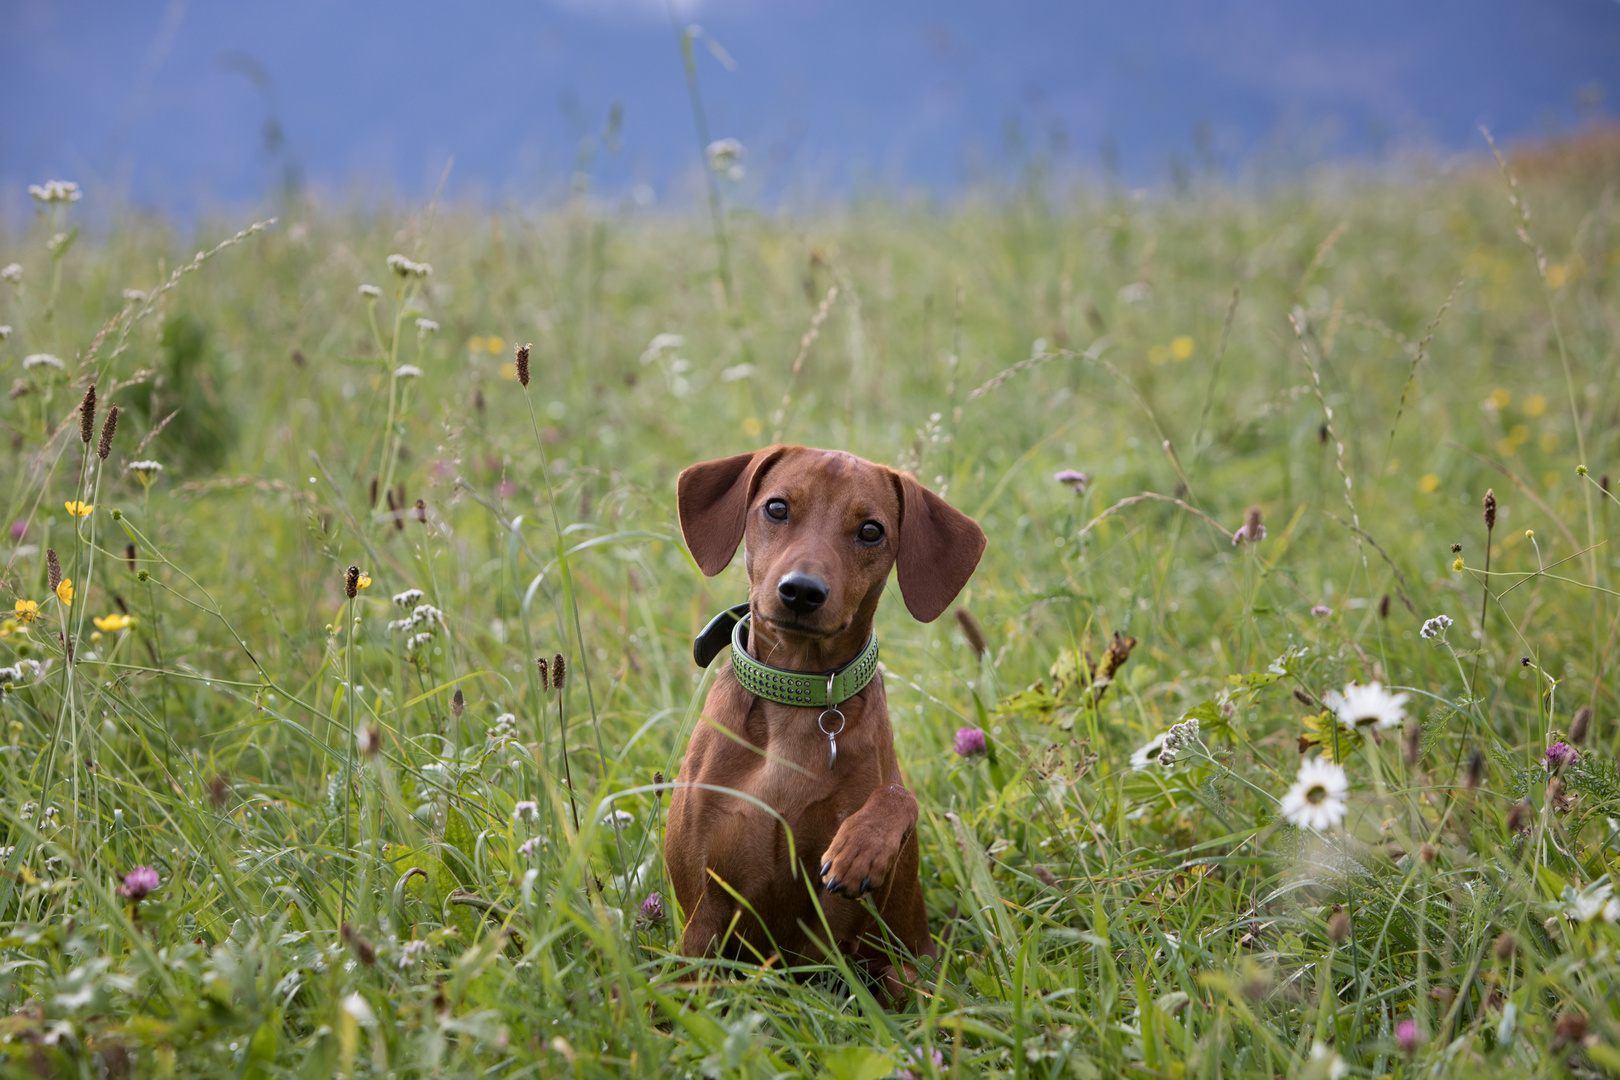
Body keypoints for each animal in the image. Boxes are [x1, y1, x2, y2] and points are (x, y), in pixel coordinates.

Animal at [660, 446, 984, 997]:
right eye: (777, 508)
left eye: (871, 531)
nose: (802, 592)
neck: (798, 694)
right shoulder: (702, 918)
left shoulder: (857, 931)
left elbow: (900, 796)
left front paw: (862, 847)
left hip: (906, 978)